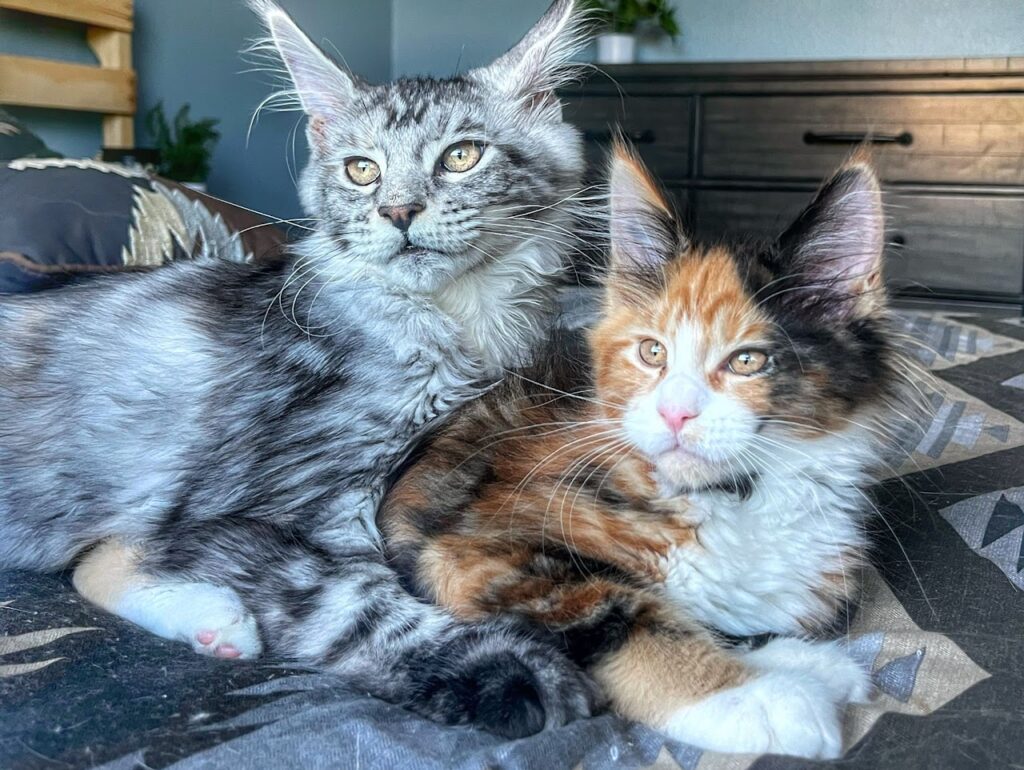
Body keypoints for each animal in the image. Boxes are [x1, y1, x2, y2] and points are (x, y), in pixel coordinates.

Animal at [0, 0, 598, 741]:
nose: (398, 211)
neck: (454, 321)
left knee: (100, 556)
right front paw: (508, 670)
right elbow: (356, 605)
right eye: (362, 170)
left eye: (461, 156)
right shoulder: (278, 503)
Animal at [382, 144, 905, 757]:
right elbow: (625, 613)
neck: (734, 496)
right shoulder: (463, 547)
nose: (674, 412)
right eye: (652, 352)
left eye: (747, 360)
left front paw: (806, 661)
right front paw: (753, 694)